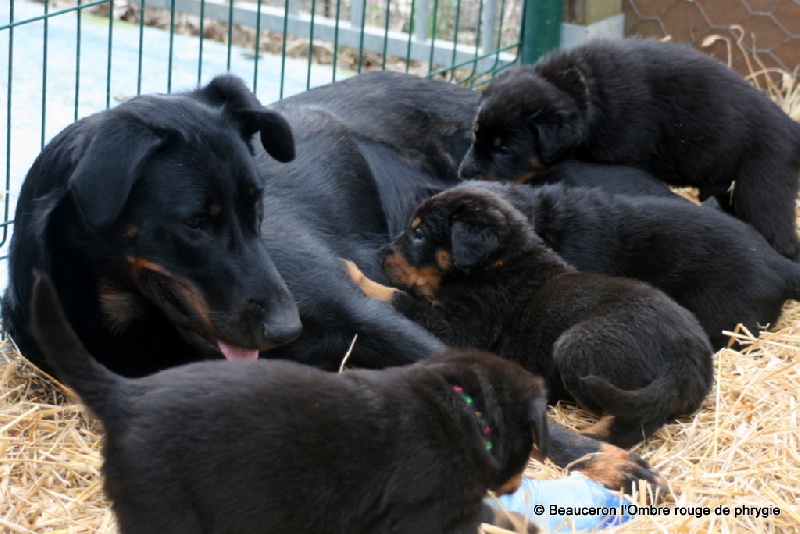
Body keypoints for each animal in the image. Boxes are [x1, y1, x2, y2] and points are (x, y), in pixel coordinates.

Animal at [346, 186, 712, 450]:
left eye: (419, 234)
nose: (381, 254)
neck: (494, 266)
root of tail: (690, 356)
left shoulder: (463, 328)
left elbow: (397, 297)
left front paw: (351, 270)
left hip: (577, 345)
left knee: (634, 421)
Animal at [460, 37, 800, 260]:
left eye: (504, 150)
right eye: (475, 134)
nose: (463, 175)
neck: (581, 91)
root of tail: (790, 127)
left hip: (762, 190)